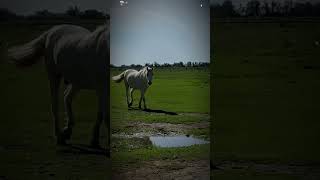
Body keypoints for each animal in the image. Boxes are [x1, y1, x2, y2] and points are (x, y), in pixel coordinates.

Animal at [7, 22, 110, 155]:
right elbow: (105, 115)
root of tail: (52, 30)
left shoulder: (102, 89)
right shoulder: (101, 88)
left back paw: (67, 132)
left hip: (77, 82)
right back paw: (60, 137)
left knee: (67, 98)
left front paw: (95, 141)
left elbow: (101, 114)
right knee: (55, 104)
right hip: (54, 76)